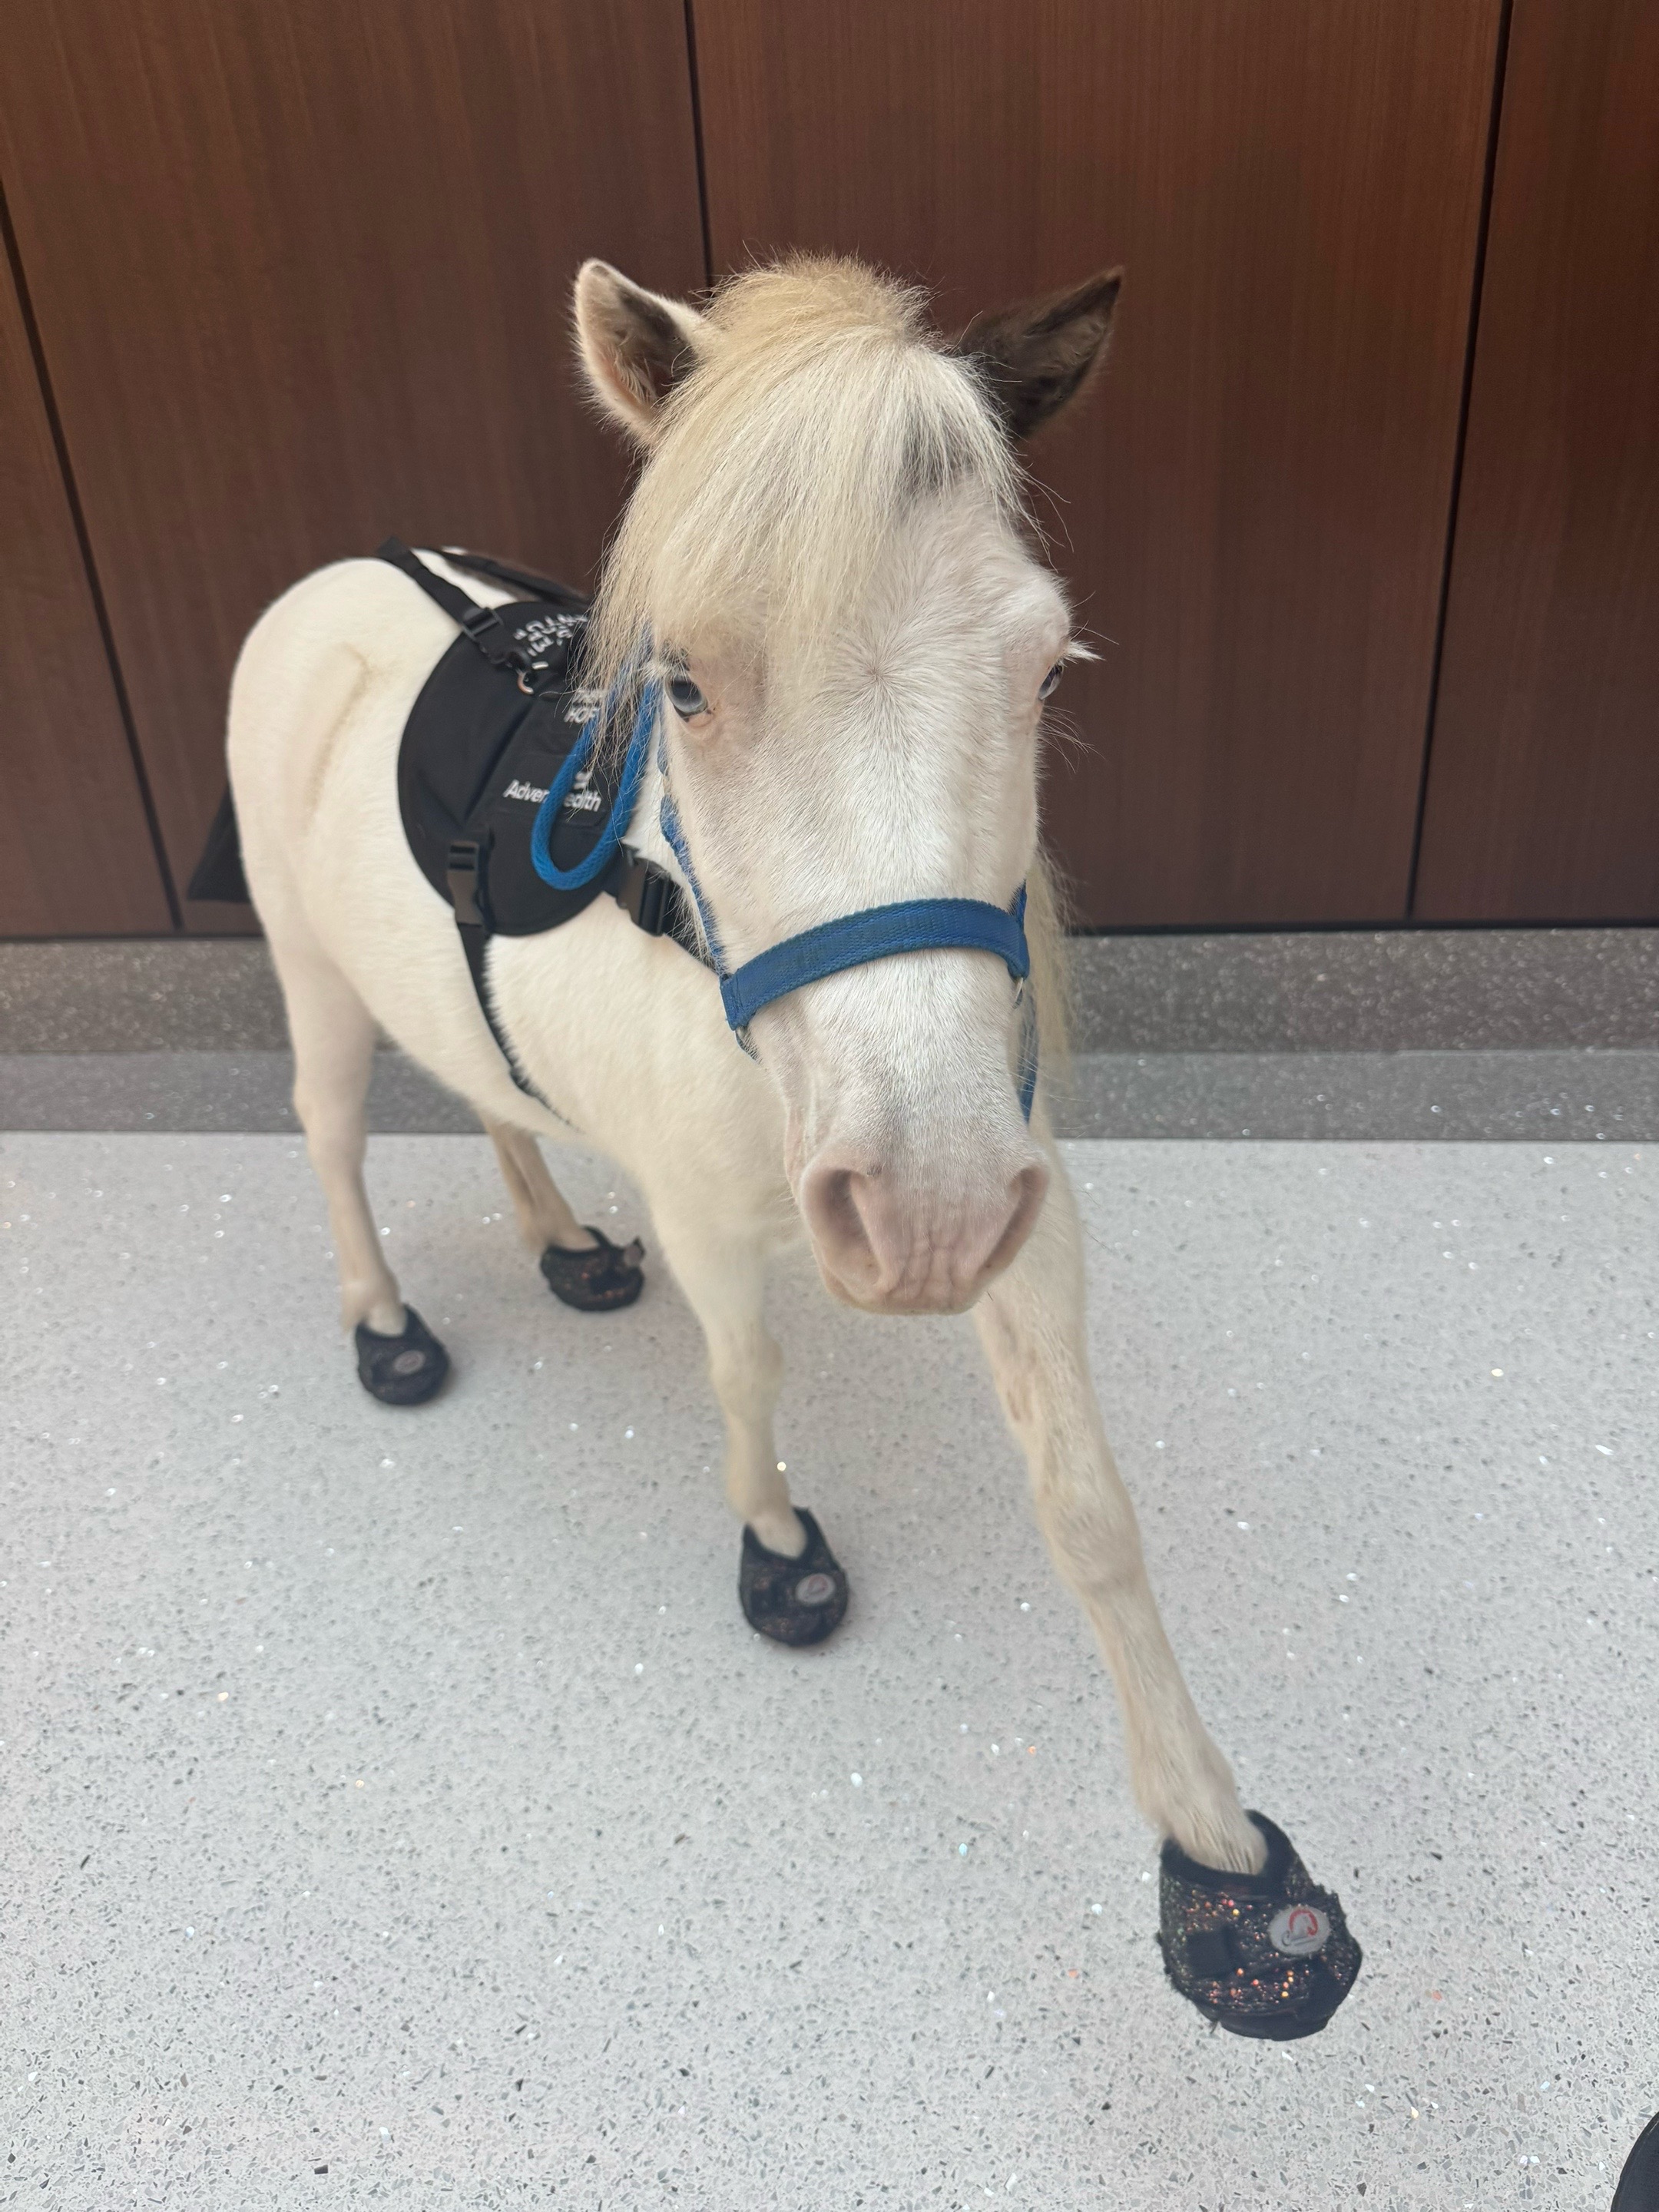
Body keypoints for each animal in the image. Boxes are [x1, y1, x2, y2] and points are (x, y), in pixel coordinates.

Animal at [227, 254, 1359, 2036]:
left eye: (1049, 671)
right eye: (684, 682)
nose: (923, 1207)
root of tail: (335, 572)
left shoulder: (1020, 1214)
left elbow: (1090, 1506)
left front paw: (1216, 1852)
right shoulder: (717, 1219)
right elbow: (748, 1377)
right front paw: (775, 1549)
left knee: (493, 1098)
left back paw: (560, 1243)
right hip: (311, 970)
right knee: (332, 1139)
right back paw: (387, 1326)